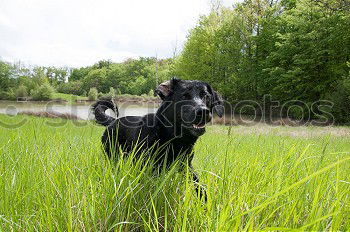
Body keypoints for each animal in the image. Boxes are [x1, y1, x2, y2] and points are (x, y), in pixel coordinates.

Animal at [92, 78, 224, 199]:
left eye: (206, 96)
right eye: (184, 96)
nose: (203, 111)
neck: (173, 138)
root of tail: (112, 121)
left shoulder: (186, 165)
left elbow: (198, 185)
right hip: (113, 157)